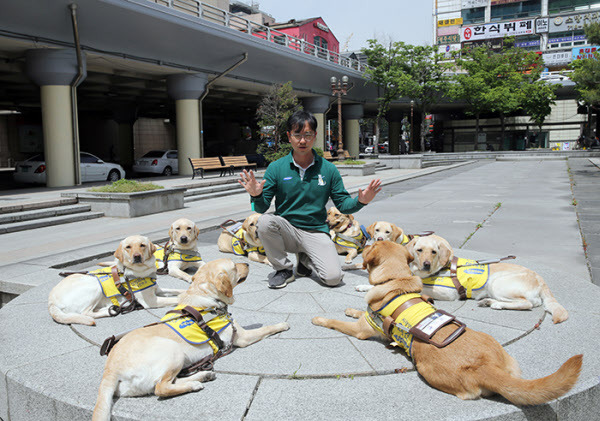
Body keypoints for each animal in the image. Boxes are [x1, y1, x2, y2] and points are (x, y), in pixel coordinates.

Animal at [48, 235, 185, 326]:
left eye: (142, 245)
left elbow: (178, 291)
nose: (137, 256)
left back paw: (112, 308)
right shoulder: (151, 300)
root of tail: (51, 301)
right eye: (128, 247)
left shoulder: (157, 290)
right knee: (86, 313)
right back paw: (110, 311)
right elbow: (175, 298)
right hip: (95, 286)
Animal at [92, 258, 290, 420]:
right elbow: (266, 328)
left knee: (165, 383)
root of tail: (110, 368)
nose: (247, 264)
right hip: (173, 351)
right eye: (234, 266)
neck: (206, 296)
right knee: (161, 388)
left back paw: (203, 376)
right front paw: (282, 325)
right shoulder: (241, 337)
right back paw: (195, 384)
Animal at [404, 235, 568, 324]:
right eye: (419, 250)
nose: (426, 264)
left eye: (434, 252)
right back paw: (488, 302)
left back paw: (496, 304)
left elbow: (421, 288)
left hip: (497, 283)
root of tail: (540, 278)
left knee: (526, 303)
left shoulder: (448, 293)